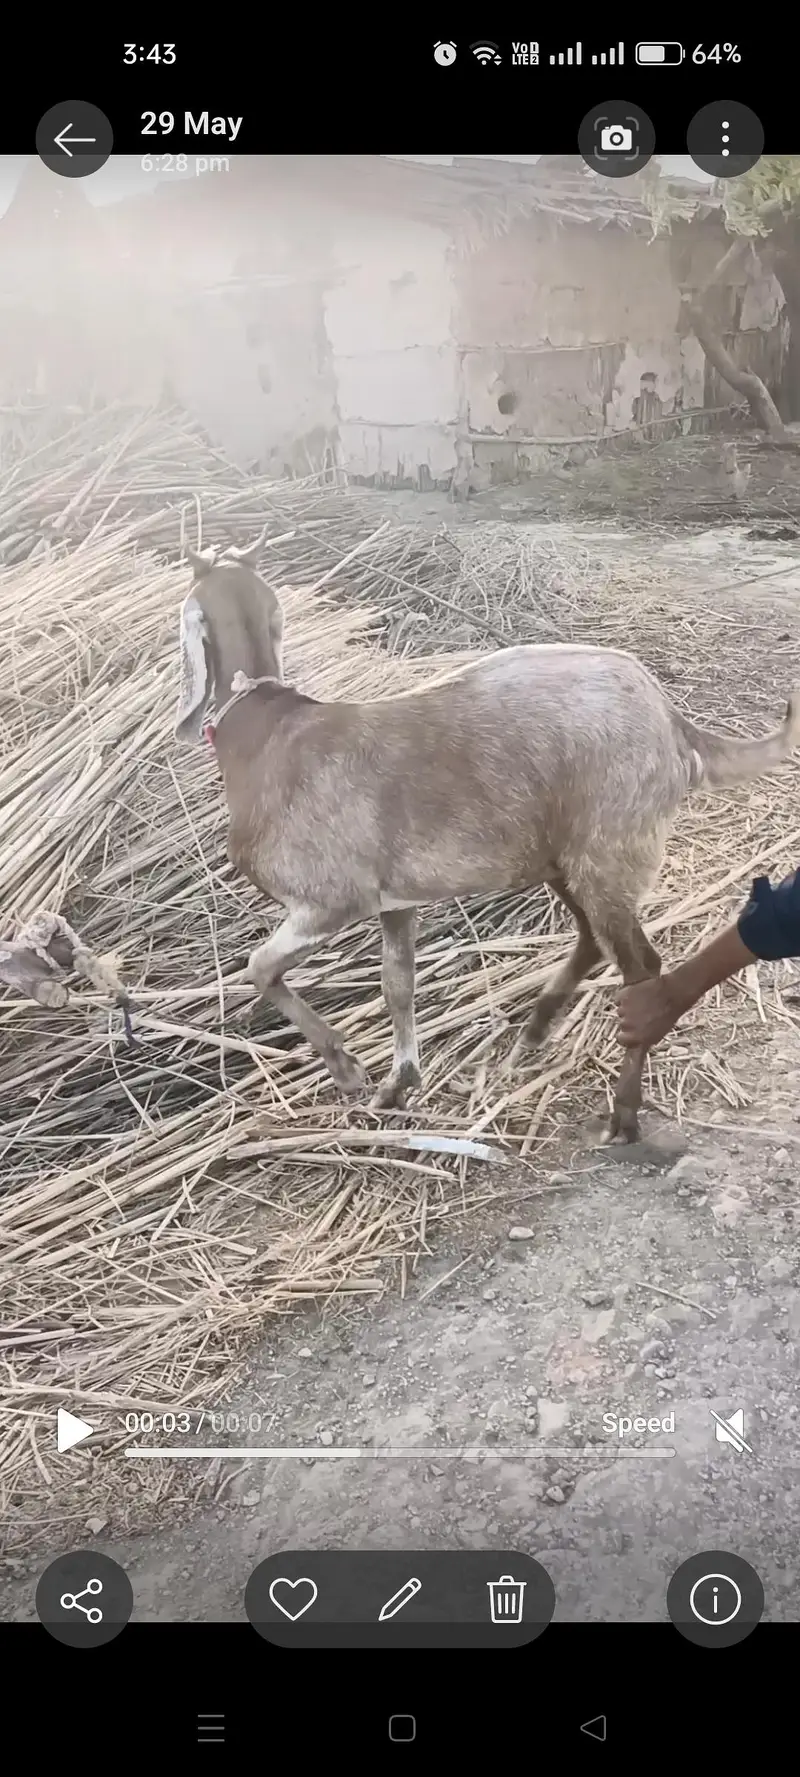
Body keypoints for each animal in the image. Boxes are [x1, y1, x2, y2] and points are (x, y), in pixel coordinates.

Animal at [174, 536, 800, 1142]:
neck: (264, 732)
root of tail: (671, 721)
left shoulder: (331, 897)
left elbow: (259, 967)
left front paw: (346, 1068)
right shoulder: (394, 899)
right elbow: (396, 982)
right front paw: (398, 1083)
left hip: (611, 838)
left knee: (641, 967)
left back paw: (622, 1113)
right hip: (561, 850)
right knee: (592, 937)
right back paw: (537, 1028)